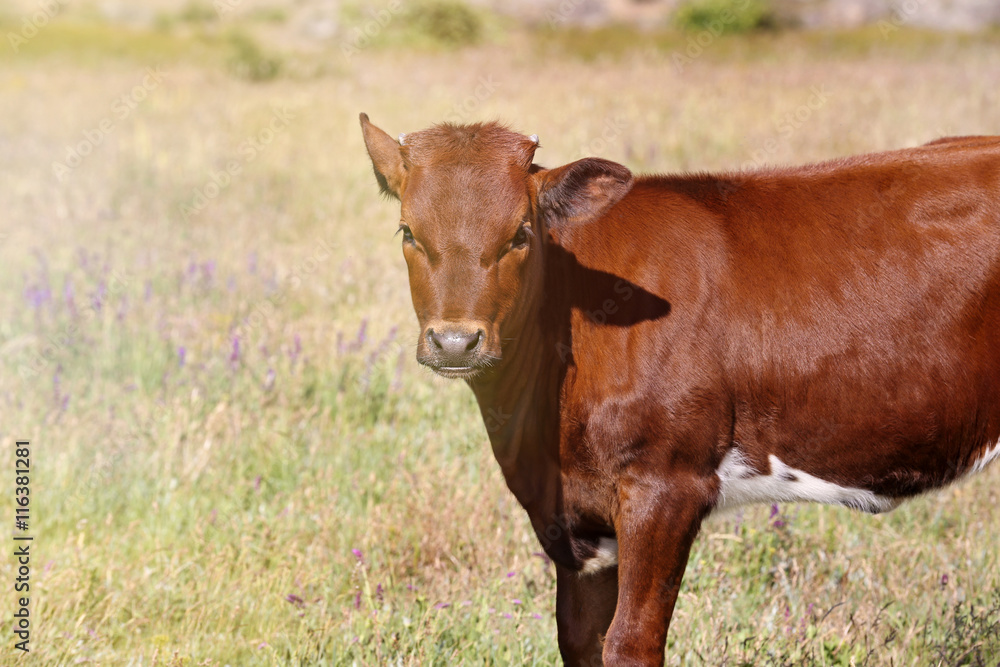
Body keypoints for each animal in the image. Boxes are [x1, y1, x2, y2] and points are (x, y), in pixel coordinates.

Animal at [360, 112, 1000, 664]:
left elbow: (631, 643)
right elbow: (580, 640)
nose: (455, 342)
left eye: (520, 233)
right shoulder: (575, 521)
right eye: (408, 231)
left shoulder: (666, 485)